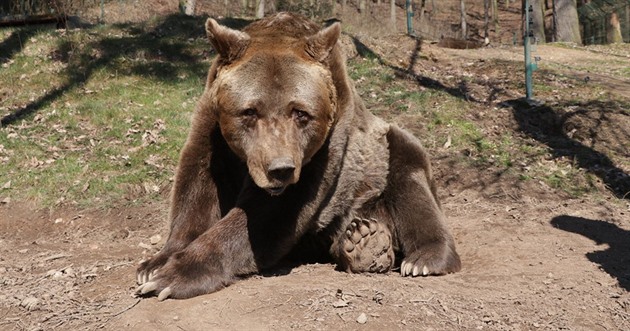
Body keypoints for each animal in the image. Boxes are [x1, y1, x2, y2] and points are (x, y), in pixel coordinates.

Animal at [136, 12, 462, 300]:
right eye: (249, 111)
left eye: (301, 113)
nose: (279, 169)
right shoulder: (212, 129)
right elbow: (197, 187)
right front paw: (153, 265)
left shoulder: (325, 152)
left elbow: (268, 215)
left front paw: (173, 276)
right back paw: (363, 241)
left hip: (384, 153)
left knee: (410, 180)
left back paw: (421, 258)